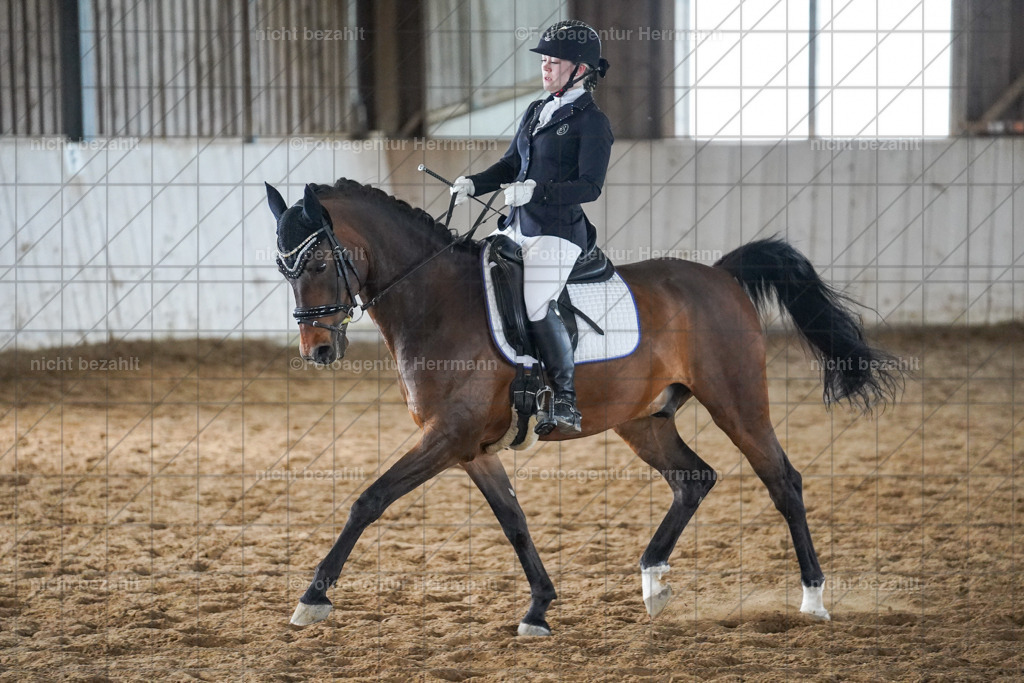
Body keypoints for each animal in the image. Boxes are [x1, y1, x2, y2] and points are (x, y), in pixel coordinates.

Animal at [266, 179, 903, 636]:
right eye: (283, 268)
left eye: (317, 263)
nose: (317, 350)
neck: (438, 301)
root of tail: (719, 276)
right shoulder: (470, 449)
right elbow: (514, 522)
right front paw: (539, 609)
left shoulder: (447, 437)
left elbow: (369, 500)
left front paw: (312, 599)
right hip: (644, 420)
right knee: (694, 478)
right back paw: (654, 583)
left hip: (738, 403)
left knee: (782, 481)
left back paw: (813, 598)